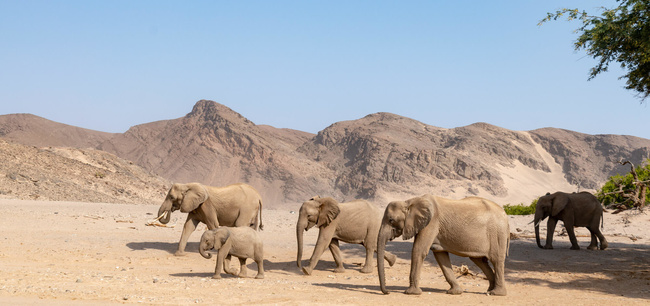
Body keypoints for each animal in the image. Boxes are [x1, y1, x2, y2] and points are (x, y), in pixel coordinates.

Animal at [378, 195, 508, 296]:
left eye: (391, 220)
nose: (388, 292)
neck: (409, 202)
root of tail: (505, 214)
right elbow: (440, 255)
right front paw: (455, 292)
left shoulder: (431, 223)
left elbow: (419, 250)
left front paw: (411, 293)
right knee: (479, 260)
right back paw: (489, 290)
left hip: (498, 234)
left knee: (496, 260)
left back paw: (496, 293)